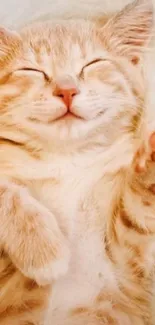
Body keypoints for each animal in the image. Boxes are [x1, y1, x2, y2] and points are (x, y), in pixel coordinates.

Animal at [0, 0, 154, 322]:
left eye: (92, 64)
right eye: (32, 70)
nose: (67, 90)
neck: (66, 164)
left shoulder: (130, 274)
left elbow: (139, 211)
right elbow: (5, 189)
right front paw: (43, 250)